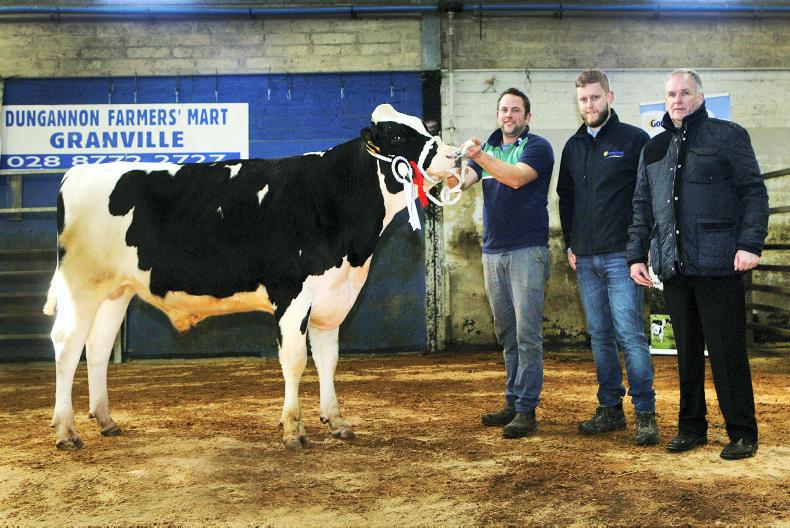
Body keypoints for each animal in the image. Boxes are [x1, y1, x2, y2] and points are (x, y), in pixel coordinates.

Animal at [43, 104, 460, 450]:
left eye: (423, 126)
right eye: (397, 136)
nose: (454, 156)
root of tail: (79, 171)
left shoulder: (332, 298)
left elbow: (328, 360)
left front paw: (336, 421)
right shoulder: (291, 293)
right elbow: (295, 360)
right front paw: (293, 429)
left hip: (116, 290)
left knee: (96, 347)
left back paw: (105, 420)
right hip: (81, 285)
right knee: (66, 345)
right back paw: (66, 431)